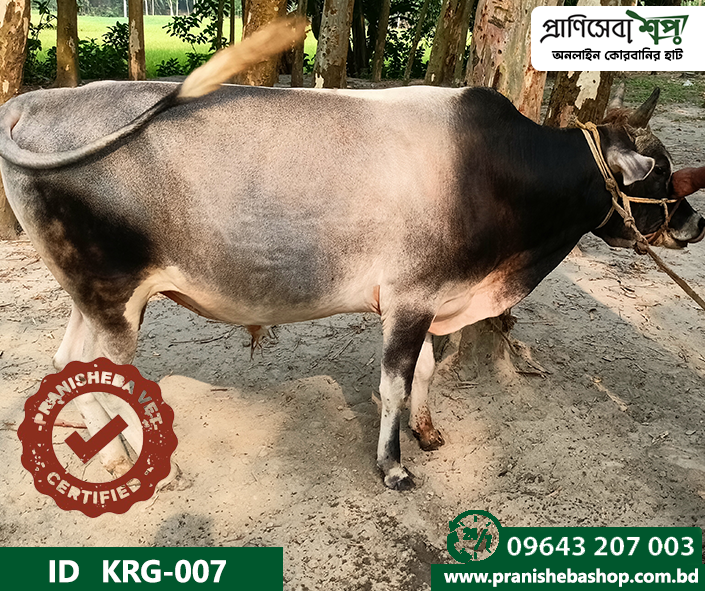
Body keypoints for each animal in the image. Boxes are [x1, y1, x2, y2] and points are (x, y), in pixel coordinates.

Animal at [1, 21, 703, 490]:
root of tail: (34, 100)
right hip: (117, 297)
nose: (694, 225)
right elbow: (395, 383)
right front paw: (393, 468)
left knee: (67, 362)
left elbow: (425, 373)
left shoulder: (430, 299)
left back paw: (104, 450)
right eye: (662, 172)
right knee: (100, 370)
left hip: (93, 295)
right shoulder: (410, 300)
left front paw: (427, 434)